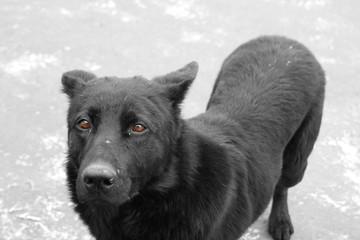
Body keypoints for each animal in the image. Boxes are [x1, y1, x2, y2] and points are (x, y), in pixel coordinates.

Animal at [62, 36, 326, 240]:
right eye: (84, 123)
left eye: (138, 127)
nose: (96, 179)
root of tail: (286, 40)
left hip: (296, 161)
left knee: (282, 185)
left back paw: (280, 221)